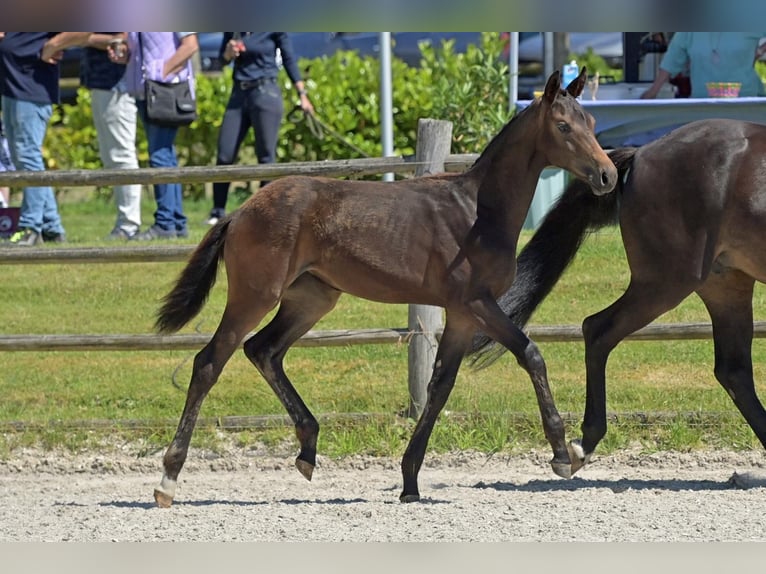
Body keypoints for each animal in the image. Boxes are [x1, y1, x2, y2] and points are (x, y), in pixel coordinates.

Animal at [150, 71, 616, 508]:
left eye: (592, 122)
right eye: (562, 126)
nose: (607, 175)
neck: (478, 212)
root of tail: (240, 211)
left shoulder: (461, 314)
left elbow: (440, 385)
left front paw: (409, 482)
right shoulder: (477, 302)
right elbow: (530, 354)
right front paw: (563, 453)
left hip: (312, 298)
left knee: (263, 349)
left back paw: (308, 448)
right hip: (255, 295)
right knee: (209, 362)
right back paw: (168, 480)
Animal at [472, 117, 766, 476]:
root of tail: (642, 154)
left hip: (726, 283)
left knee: (733, 370)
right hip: (667, 280)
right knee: (597, 329)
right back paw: (580, 447)